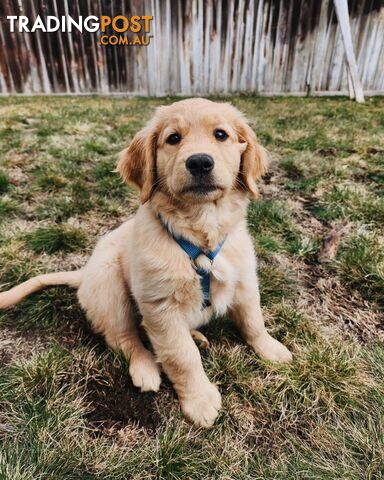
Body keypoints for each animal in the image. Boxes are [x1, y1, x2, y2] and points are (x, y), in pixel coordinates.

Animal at [0, 98, 292, 428]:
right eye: (173, 138)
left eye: (221, 134)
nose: (199, 162)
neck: (201, 231)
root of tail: (83, 273)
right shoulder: (160, 305)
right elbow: (181, 355)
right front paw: (200, 400)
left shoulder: (244, 281)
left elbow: (254, 321)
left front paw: (271, 349)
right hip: (109, 285)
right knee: (124, 337)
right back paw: (146, 368)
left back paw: (196, 336)